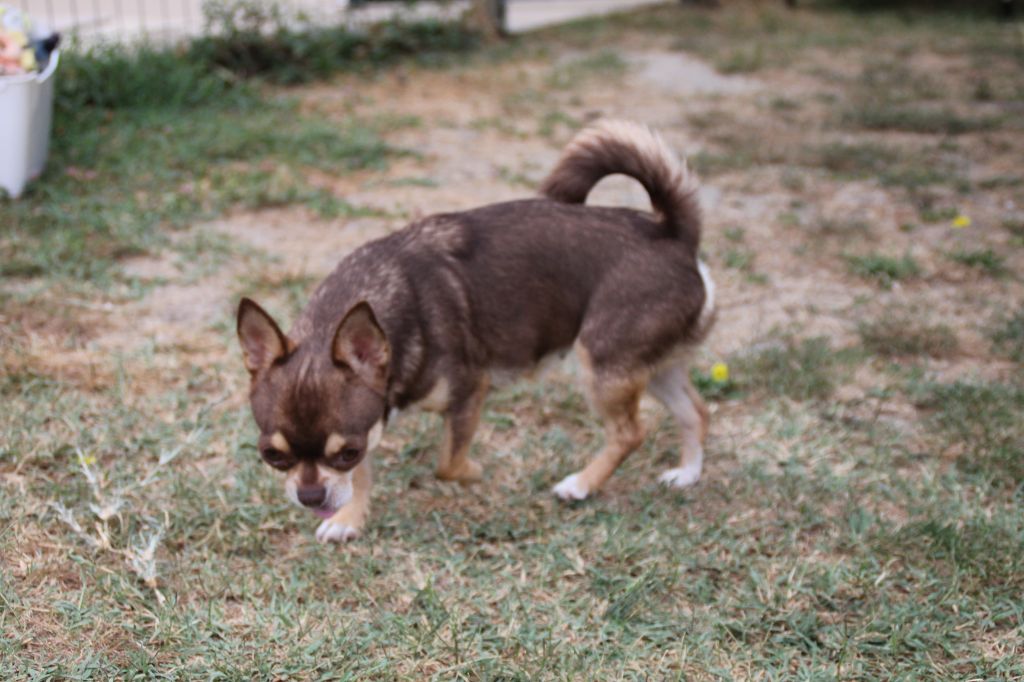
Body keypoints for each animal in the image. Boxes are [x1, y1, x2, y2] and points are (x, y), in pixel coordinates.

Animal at [235, 120, 716, 540]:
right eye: (272, 456)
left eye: (346, 451)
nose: (310, 496)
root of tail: (673, 235)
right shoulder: (375, 410)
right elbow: (366, 475)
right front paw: (349, 520)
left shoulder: (469, 392)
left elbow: (446, 463)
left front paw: (471, 473)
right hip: (649, 366)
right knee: (695, 410)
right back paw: (688, 474)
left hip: (603, 365)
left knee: (630, 433)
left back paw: (580, 484)